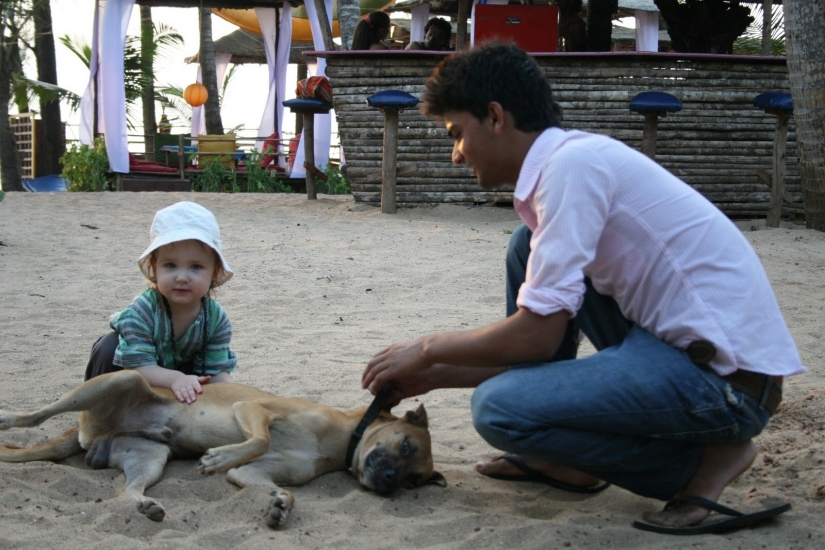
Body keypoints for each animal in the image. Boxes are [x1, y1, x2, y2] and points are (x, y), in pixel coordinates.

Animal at [0, 370, 444, 532]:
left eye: (414, 480)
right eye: (405, 444)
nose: (389, 482)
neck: (341, 440)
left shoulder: (255, 473)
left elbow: (279, 486)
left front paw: (280, 505)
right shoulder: (252, 410)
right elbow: (259, 438)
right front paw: (220, 456)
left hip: (150, 457)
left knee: (122, 491)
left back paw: (144, 504)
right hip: (116, 380)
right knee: (36, 416)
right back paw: (7, 417)